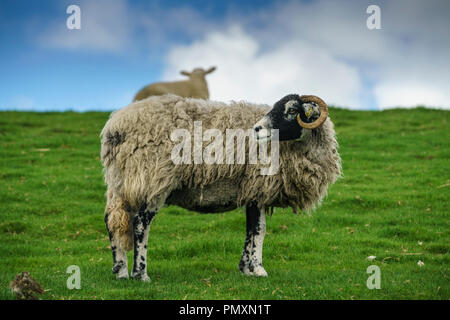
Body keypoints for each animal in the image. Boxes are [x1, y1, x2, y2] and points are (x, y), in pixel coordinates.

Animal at [101, 92, 342, 280]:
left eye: (292, 110)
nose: (257, 128)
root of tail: (116, 127)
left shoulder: (250, 192)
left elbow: (250, 230)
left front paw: (245, 268)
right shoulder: (259, 187)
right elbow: (259, 230)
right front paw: (259, 269)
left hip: (121, 182)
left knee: (114, 221)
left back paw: (120, 271)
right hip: (153, 179)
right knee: (140, 224)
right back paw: (140, 274)